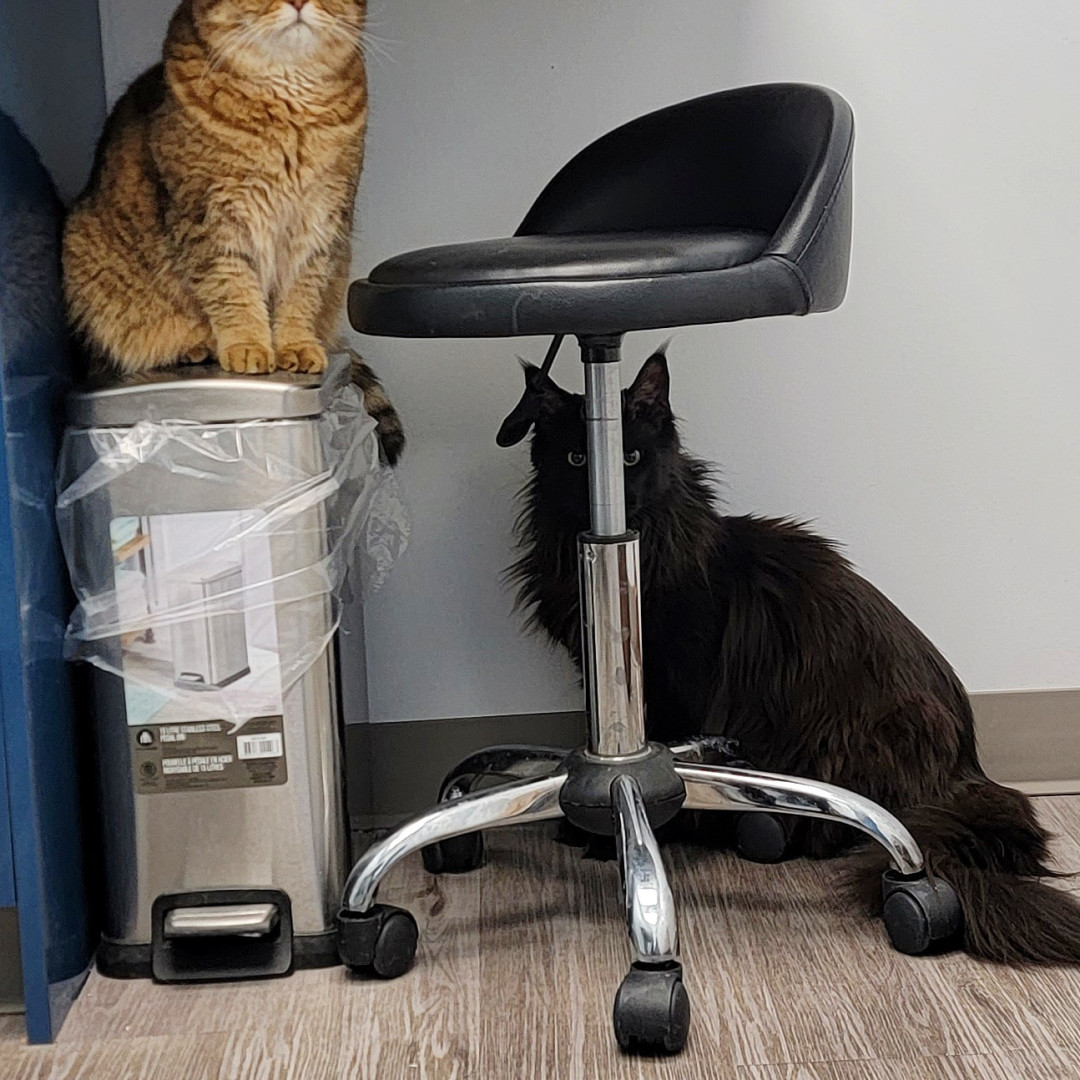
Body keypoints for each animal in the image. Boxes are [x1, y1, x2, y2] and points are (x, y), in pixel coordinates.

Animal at [62, 0, 403, 463]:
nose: (299, 3)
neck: (288, 104)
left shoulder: (322, 221)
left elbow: (300, 295)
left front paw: (295, 346)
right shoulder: (211, 221)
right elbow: (233, 291)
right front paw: (249, 346)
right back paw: (195, 346)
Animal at [507, 348, 1080, 965]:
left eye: (630, 456)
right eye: (575, 458)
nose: (618, 500)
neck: (645, 550)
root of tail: (970, 767)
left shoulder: (676, 685)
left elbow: (657, 768)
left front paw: (626, 838)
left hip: (861, 731)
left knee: (858, 821)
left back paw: (780, 830)